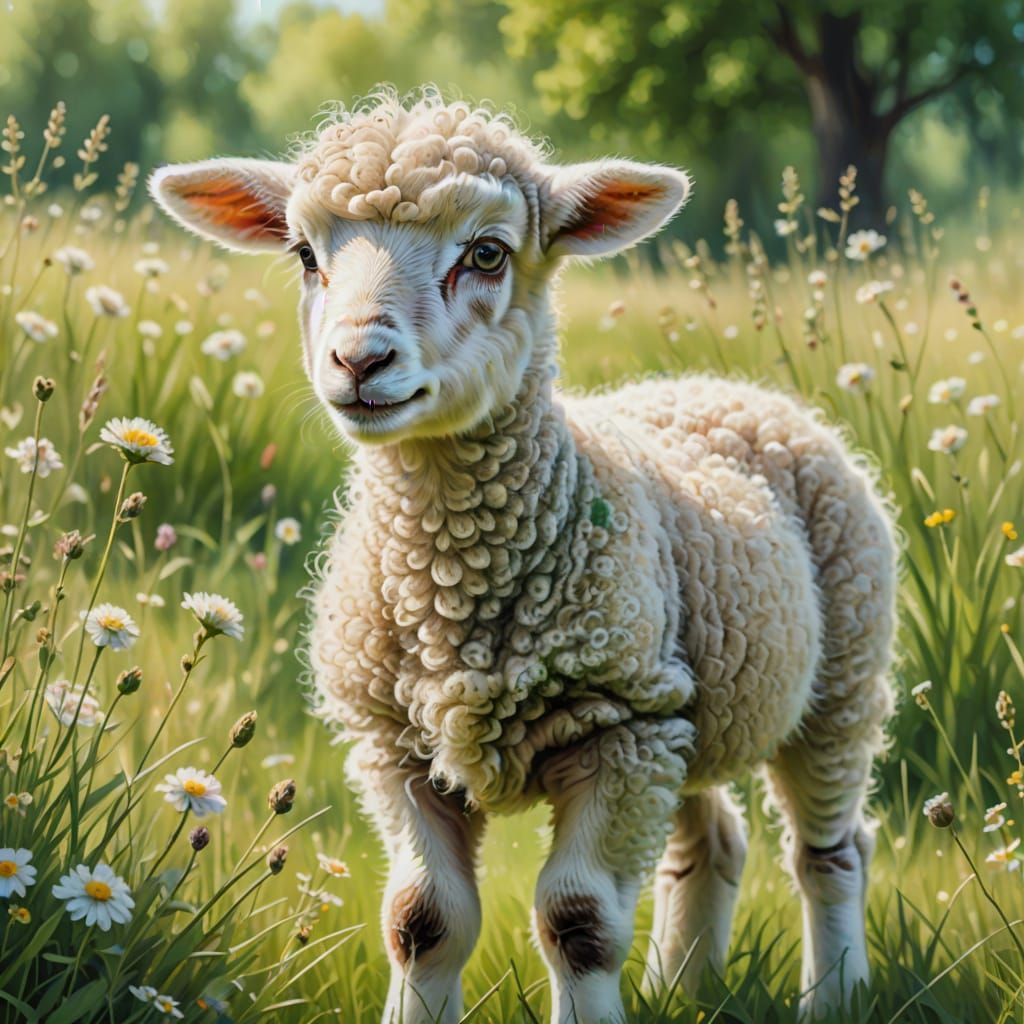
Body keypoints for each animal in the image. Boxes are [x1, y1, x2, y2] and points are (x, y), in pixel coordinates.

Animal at [151, 87, 897, 1024]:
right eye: (305, 255)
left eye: (487, 253)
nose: (359, 359)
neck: (451, 578)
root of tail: (729, 390)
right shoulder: (397, 745)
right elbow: (421, 918)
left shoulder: (618, 727)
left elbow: (578, 921)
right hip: (686, 704)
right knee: (713, 839)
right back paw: (681, 985)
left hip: (837, 681)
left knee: (831, 851)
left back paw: (835, 994)